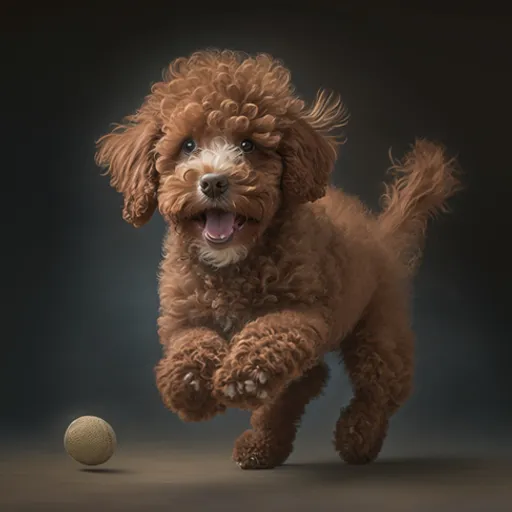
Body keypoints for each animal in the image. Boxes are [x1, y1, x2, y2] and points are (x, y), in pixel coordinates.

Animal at [95, 49, 460, 468]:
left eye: (249, 144)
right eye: (187, 146)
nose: (214, 181)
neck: (233, 264)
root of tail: (381, 234)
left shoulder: (304, 312)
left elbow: (269, 331)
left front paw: (242, 374)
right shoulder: (183, 319)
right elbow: (191, 343)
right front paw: (191, 386)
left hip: (379, 329)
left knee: (381, 388)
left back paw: (358, 438)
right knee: (306, 382)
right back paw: (262, 445)